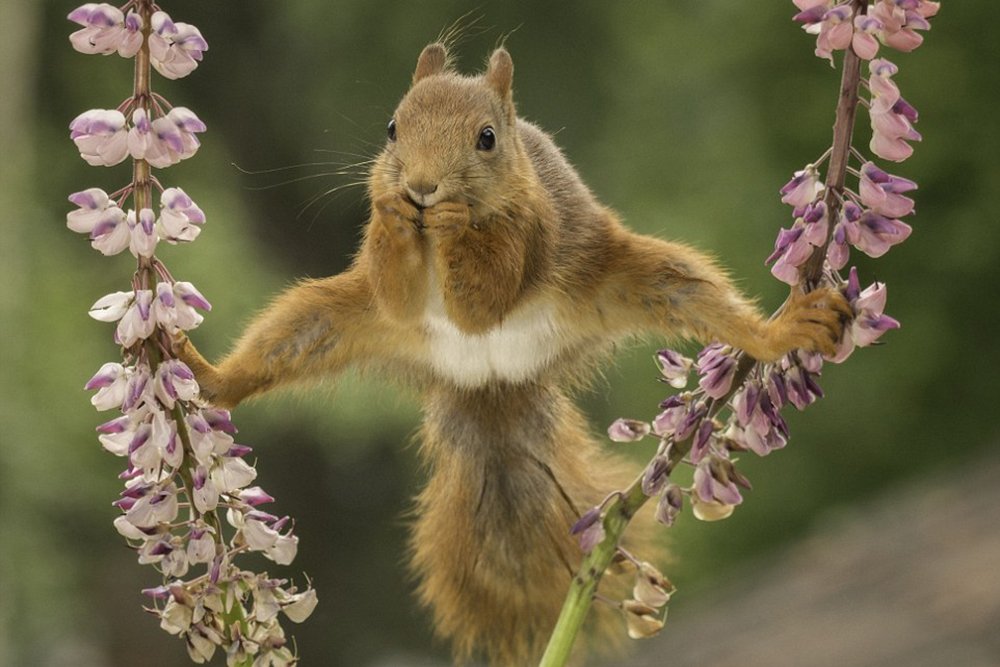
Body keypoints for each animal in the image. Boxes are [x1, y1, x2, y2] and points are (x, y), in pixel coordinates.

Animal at [175, 43, 849, 665]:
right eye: (392, 127)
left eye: (487, 139)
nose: (422, 187)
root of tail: (491, 380)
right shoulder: (390, 294)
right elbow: (396, 291)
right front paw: (393, 213)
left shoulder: (532, 230)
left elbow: (486, 298)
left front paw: (451, 222)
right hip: (326, 320)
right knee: (286, 340)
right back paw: (207, 377)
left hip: (630, 278)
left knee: (695, 294)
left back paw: (782, 330)